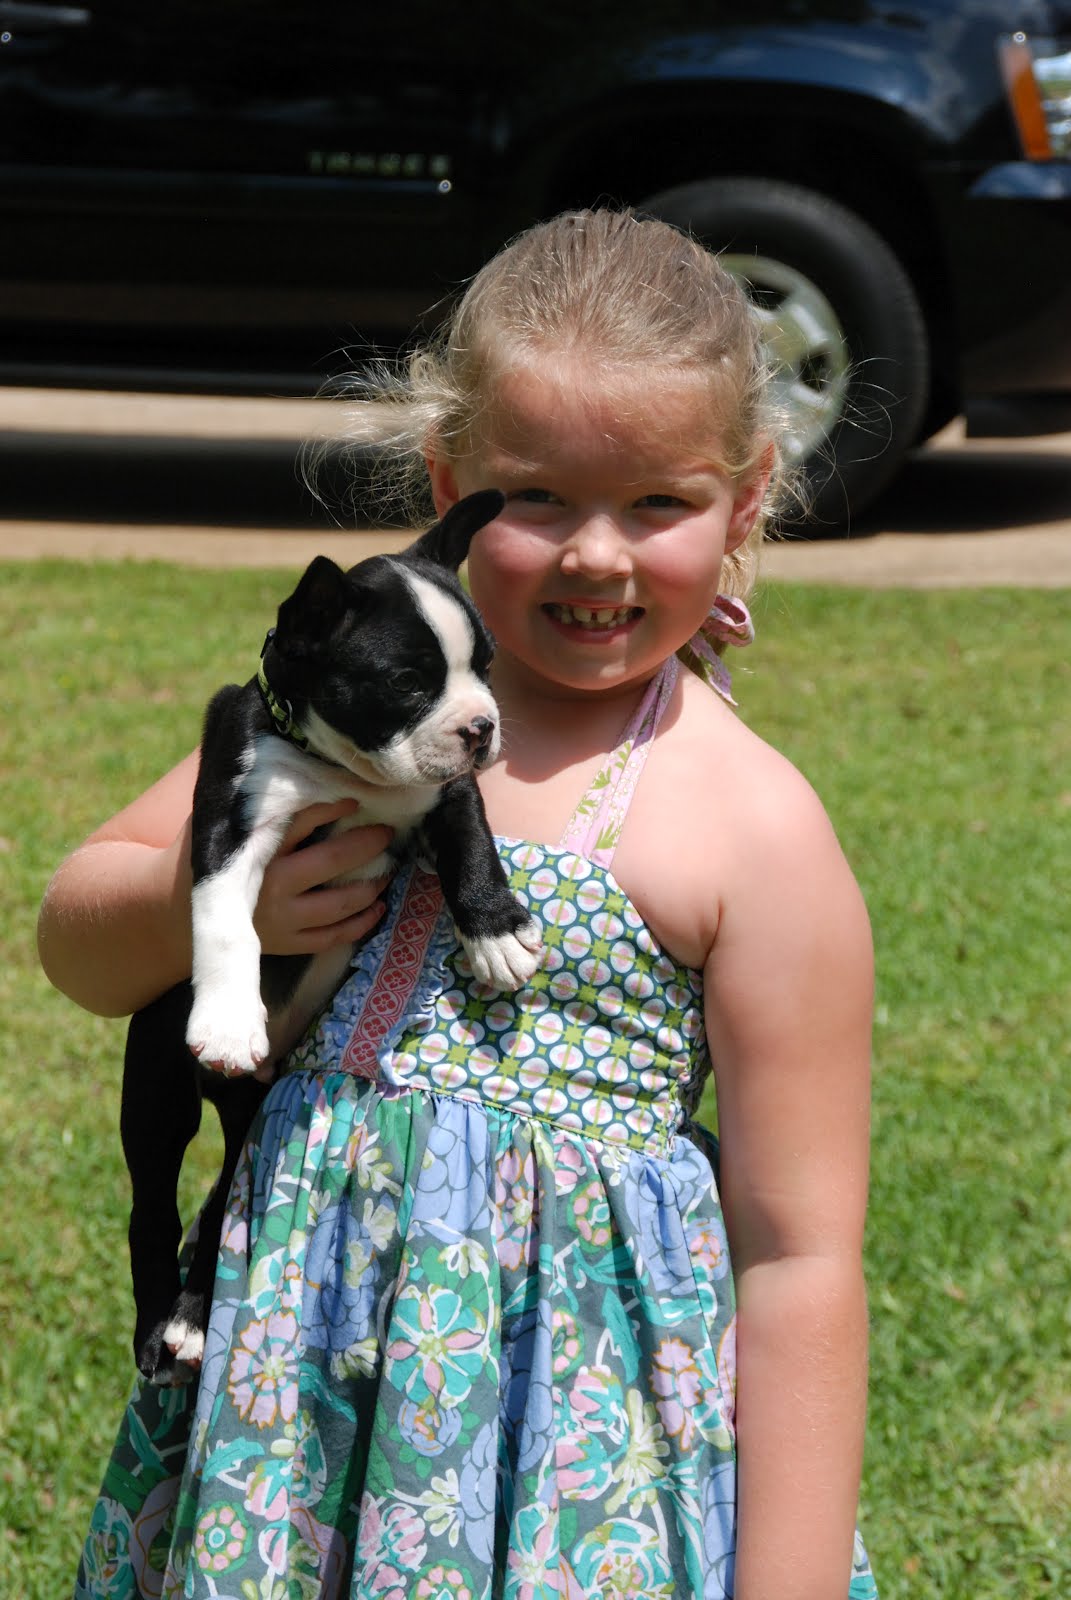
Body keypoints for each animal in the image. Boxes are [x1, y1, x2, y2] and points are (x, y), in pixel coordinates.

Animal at [121, 487, 542, 1382]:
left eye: (487, 669)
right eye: (408, 683)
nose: (483, 726)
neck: (345, 769)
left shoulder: (447, 793)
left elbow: (471, 842)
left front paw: (496, 931)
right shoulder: (230, 824)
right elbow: (227, 925)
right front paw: (229, 1019)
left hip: (251, 1114)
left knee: (227, 1193)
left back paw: (194, 1317)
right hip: (158, 1083)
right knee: (154, 1207)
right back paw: (161, 1325)